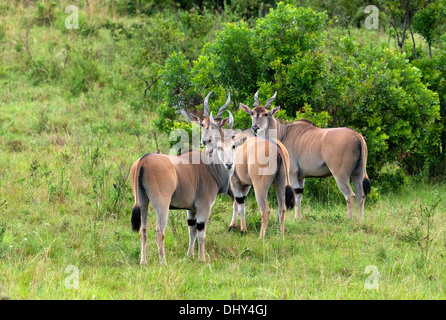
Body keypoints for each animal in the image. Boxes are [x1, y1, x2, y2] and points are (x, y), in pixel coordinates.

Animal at [129, 131, 247, 264]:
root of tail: (143, 160)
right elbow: (201, 233)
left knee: (143, 231)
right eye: (219, 147)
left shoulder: (191, 210)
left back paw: (143, 262)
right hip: (162, 206)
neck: (210, 167)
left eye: (233, 146)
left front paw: (190, 255)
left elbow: (192, 231)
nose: (229, 164)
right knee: (159, 232)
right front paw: (201, 259)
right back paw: (163, 262)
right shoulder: (204, 207)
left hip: (143, 202)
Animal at [239, 90, 372, 220]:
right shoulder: (301, 176)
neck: (283, 133)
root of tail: (357, 136)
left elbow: (295, 194)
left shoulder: (292, 173)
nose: (255, 127)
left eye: (266, 114)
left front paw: (295, 218)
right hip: (357, 173)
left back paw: (349, 220)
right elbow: (299, 195)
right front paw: (298, 217)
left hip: (340, 174)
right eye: (252, 113)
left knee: (350, 196)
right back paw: (361, 220)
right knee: (361, 195)